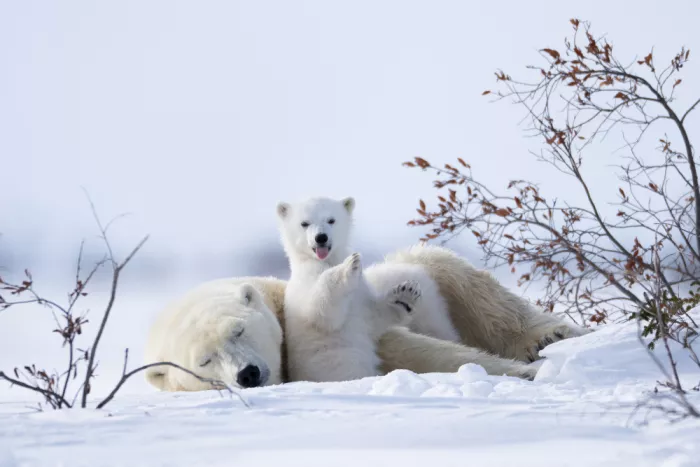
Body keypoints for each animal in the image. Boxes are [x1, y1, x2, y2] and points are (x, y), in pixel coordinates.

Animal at [276, 197, 422, 382]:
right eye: (304, 223)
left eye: (331, 220)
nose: (321, 237)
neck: (325, 260)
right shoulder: (305, 284)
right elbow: (320, 311)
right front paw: (349, 265)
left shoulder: (361, 293)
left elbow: (373, 316)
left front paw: (407, 292)